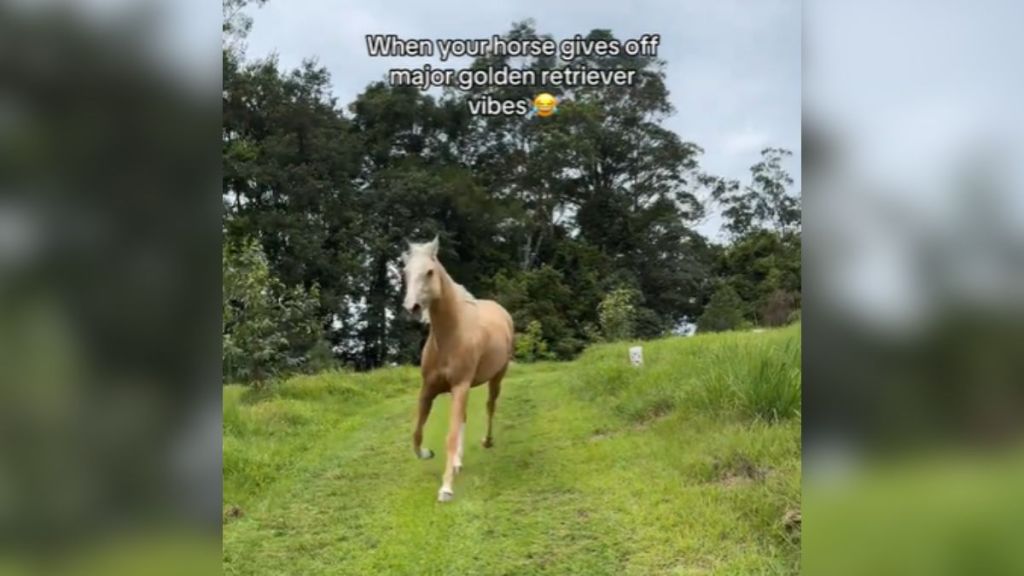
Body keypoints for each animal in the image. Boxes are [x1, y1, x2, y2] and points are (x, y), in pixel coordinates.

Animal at [399, 235, 512, 500]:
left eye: (429, 272)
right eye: (405, 271)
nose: (412, 308)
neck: (450, 336)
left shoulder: (460, 386)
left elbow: (450, 436)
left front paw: (446, 489)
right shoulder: (429, 389)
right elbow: (417, 433)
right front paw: (428, 454)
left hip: (496, 378)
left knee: (490, 407)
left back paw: (487, 441)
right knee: (465, 417)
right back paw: (459, 463)